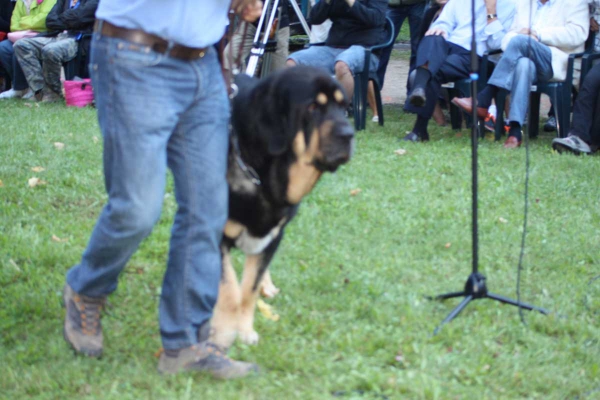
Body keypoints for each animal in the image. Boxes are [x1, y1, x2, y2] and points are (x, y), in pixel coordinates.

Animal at [210, 65, 354, 346]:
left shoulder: (274, 233)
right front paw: (223, 333)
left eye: (343, 108)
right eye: (312, 107)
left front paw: (244, 330)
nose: (349, 134)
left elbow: (249, 290)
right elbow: (230, 290)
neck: (263, 176)